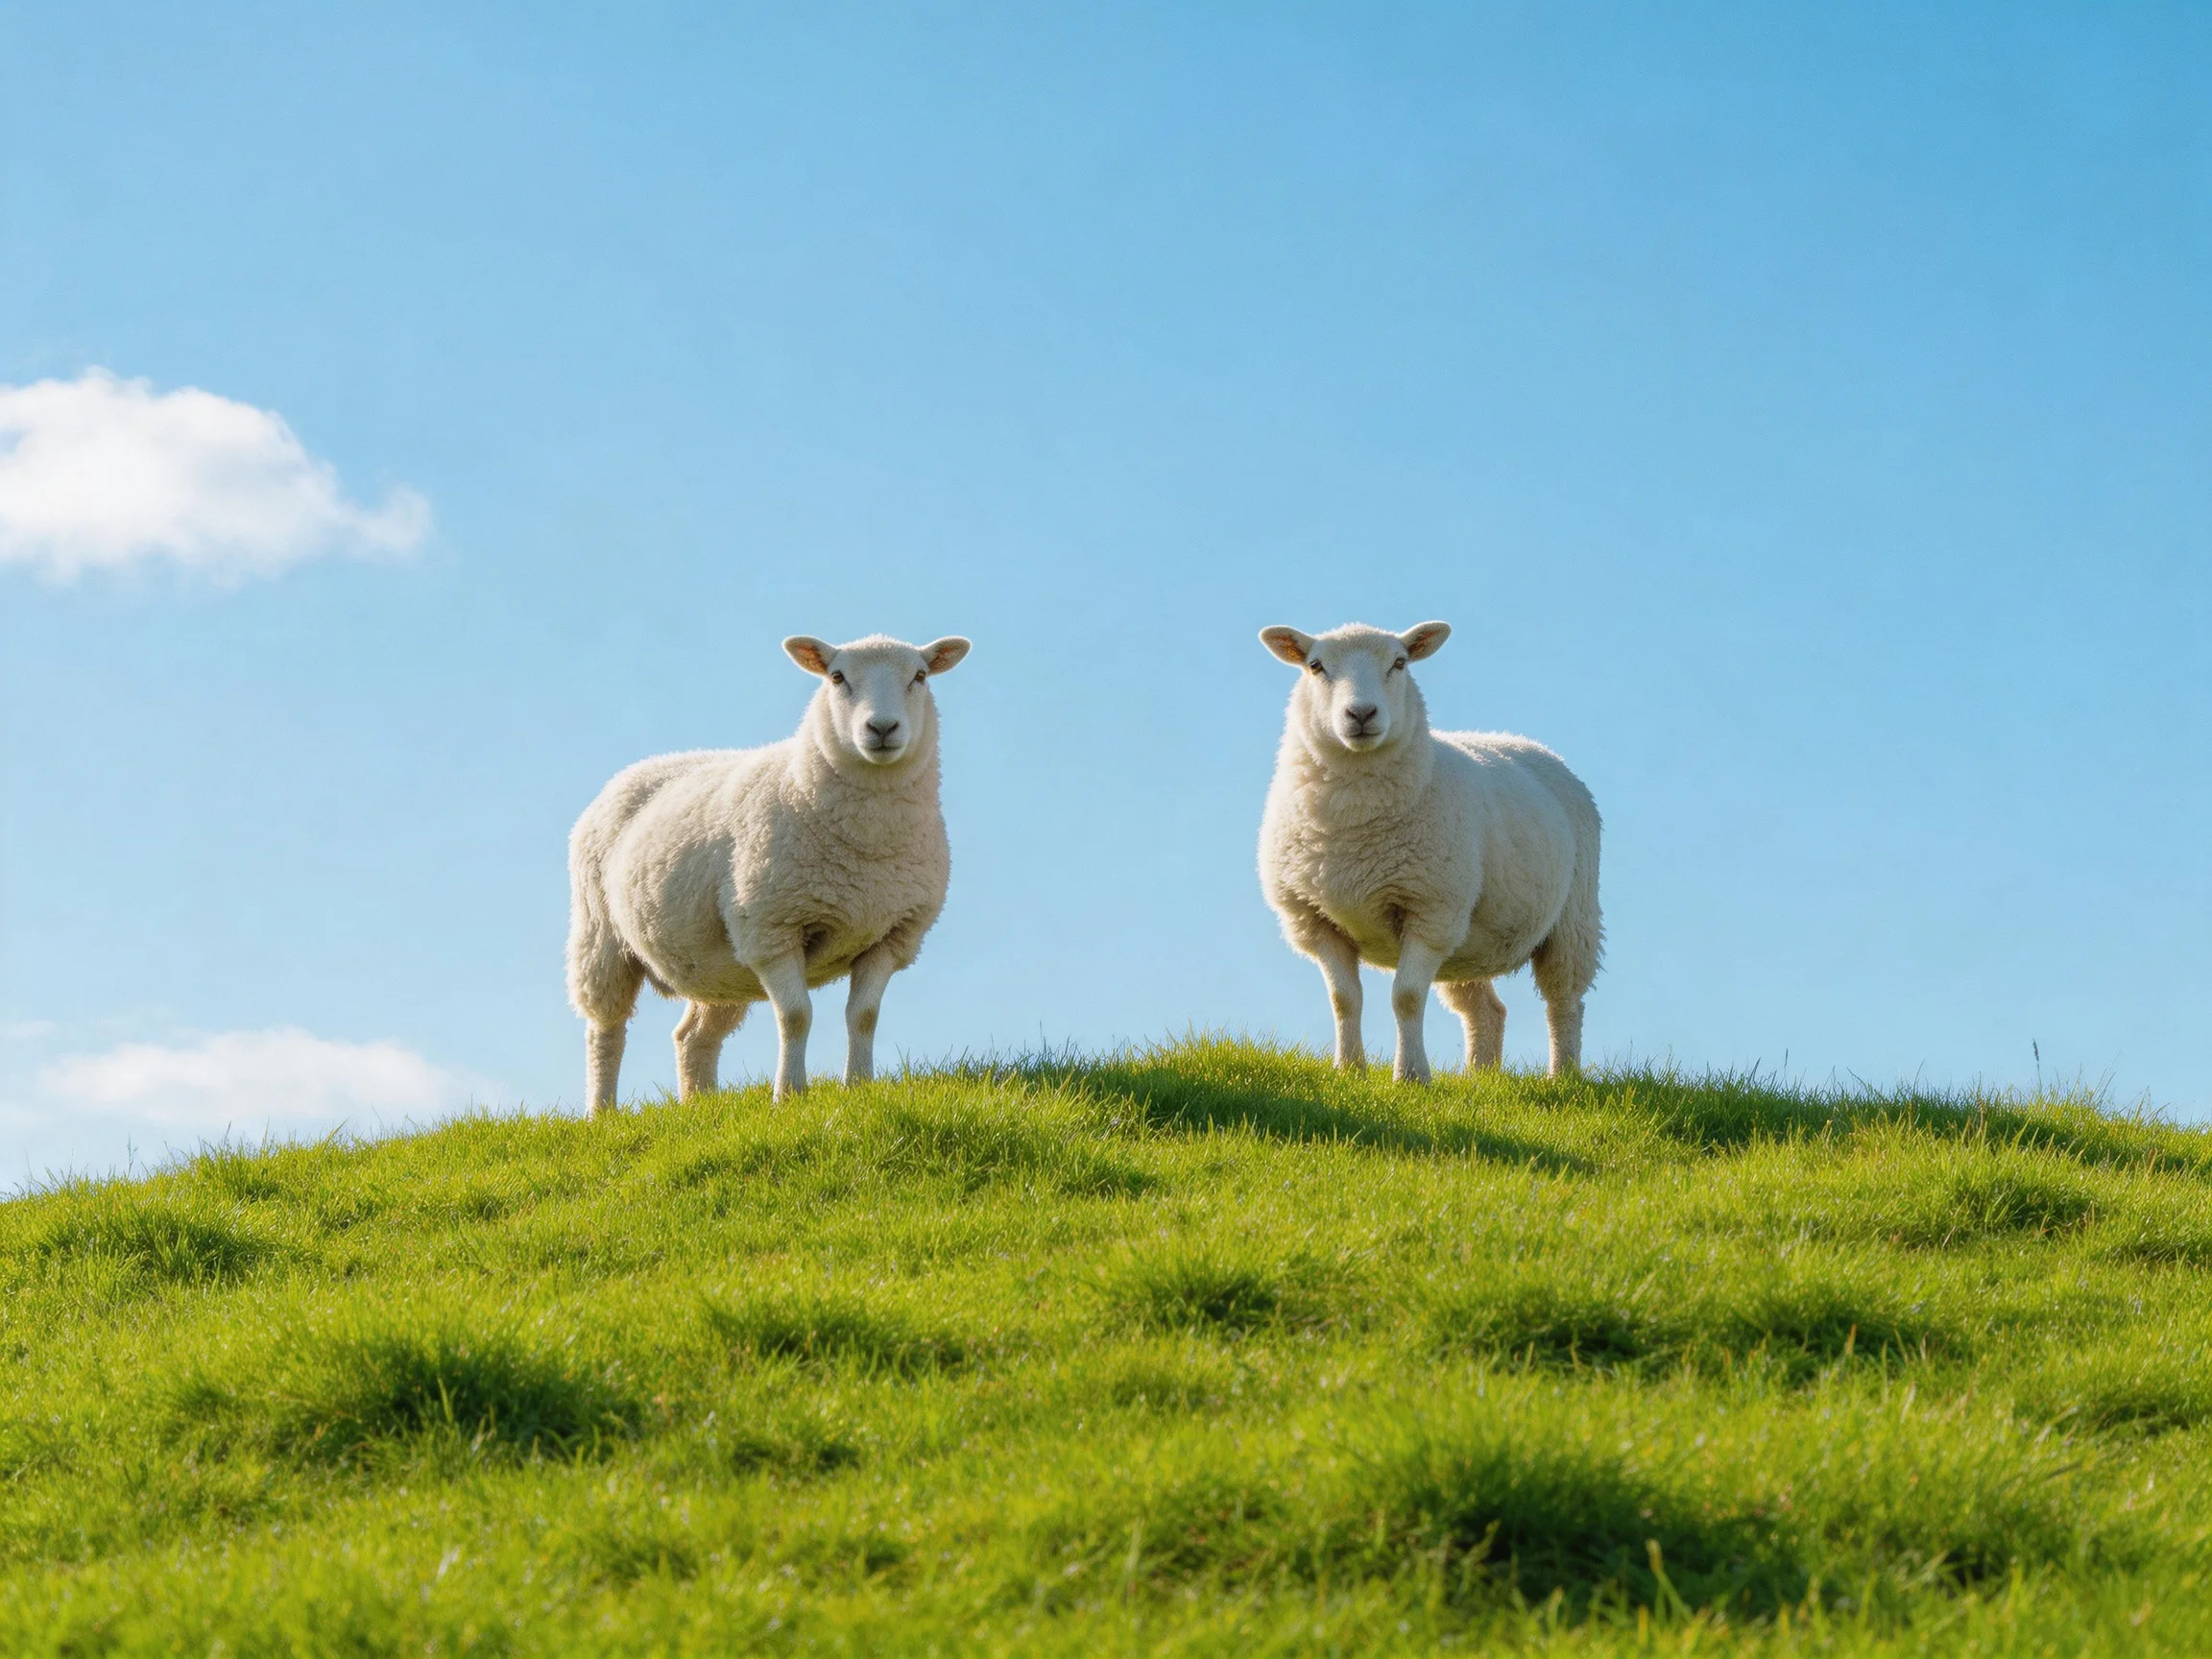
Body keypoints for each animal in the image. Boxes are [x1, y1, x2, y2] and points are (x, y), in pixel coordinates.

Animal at [566, 632, 971, 1111]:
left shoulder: (890, 936)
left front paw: (858, 1088)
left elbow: (864, 1017)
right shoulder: (771, 930)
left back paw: (701, 1108)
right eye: (837, 677)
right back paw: (602, 1112)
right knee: (605, 1031)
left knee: (692, 1037)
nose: (882, 728)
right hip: (602, 940)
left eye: (920, 676)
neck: (866, 846)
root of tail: (643, 765)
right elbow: (796, 1016)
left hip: (719, 968)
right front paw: (790, 1094)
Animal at [1256, 621, 1601, 1082]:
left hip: (1572, 920)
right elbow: (1344, 1000)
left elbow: (1405, 998)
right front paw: (1349, 1070)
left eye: (1400, 662)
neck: (1353, 824)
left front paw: (1411, 1076)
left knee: (1564, 1001)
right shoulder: (1315, 919)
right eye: (1315, 666)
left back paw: (1562, 1077)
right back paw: (1479, 1079)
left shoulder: (1429, 911)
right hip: (1467, 942)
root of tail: (1521, 741)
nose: (1361, 714)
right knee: (1486, 1011)